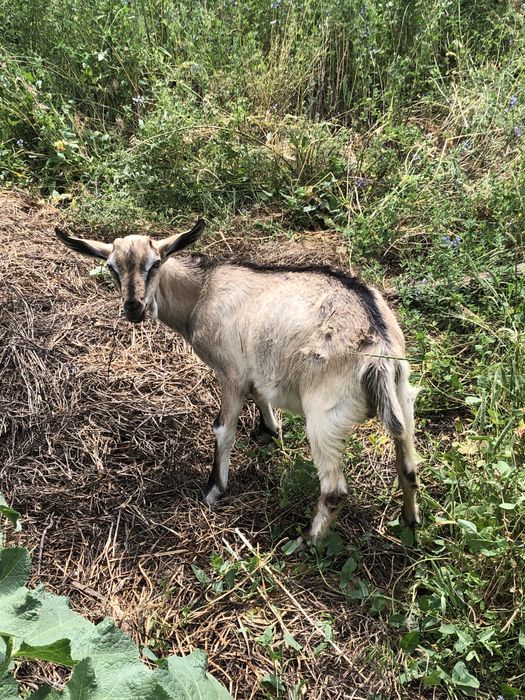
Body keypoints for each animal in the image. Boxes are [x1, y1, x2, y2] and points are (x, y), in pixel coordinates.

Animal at [55, 221, 420, 543]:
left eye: (155, 263)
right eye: (111, 268)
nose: (134, 307)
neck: (202, 292)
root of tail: (377, 349)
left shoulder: (230, 371)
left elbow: (223, 428)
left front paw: (214, 490)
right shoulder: (253, 366)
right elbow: (260, 393)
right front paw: (270, 430)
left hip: (325, 415)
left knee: (334, 490)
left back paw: (308, 541)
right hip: (403, 396)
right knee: (408, 465)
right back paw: (410, 521)